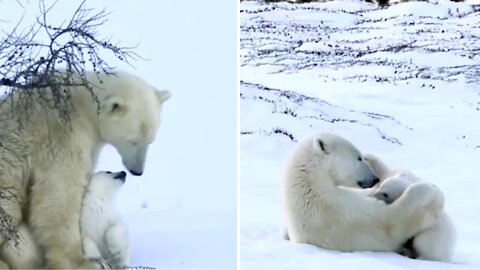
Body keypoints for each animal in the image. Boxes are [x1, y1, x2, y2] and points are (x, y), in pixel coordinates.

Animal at [0, 70, 171, 268]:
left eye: (151, 140)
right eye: (132, 140)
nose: (137, 171)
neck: (82, 104)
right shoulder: (62, 134)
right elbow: (59, 194)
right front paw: (80, 261)